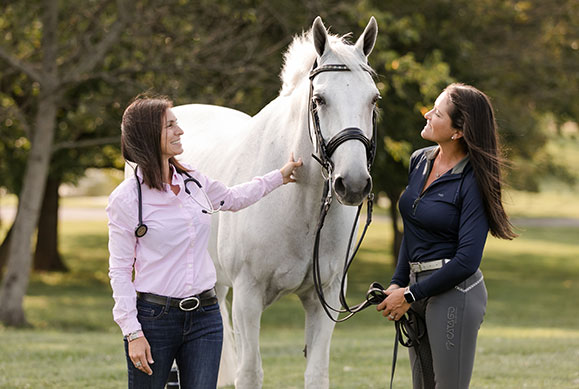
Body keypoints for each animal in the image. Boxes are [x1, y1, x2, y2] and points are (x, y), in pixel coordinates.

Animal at [174, 15, 378, 388]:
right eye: (320, 100)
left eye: (373, 99)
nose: (354, 184)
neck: (299, 206)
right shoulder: (248, 297)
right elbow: (250, 372)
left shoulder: (324, 299)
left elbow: (316, 373)